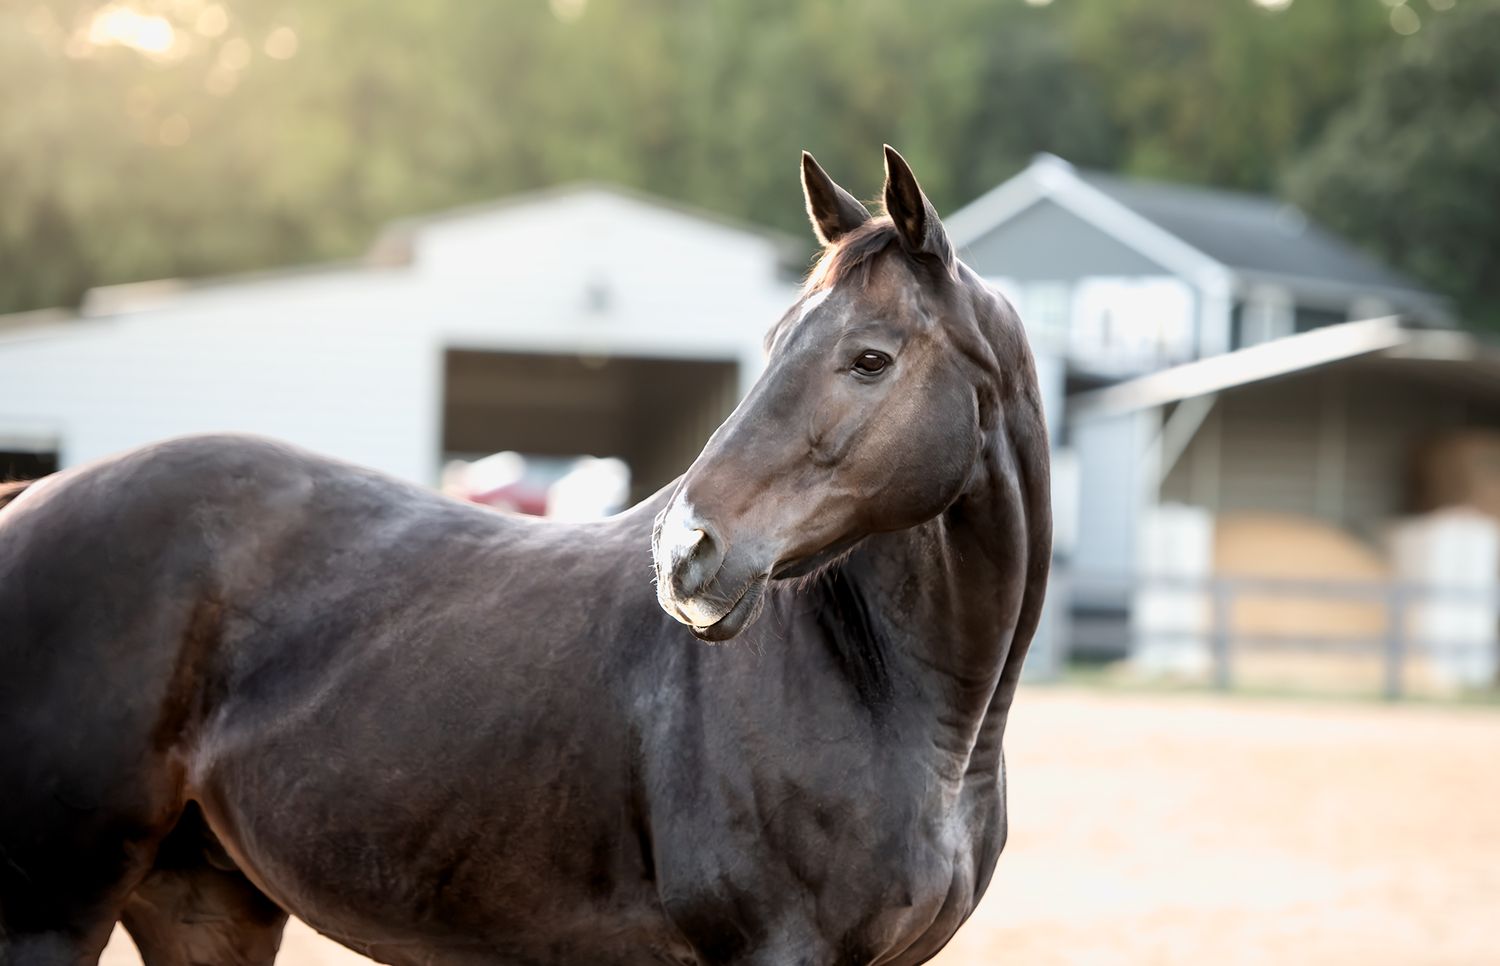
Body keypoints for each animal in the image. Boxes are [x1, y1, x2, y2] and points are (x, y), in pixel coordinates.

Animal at [0, 146, 1050, 966]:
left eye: (870, 359)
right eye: (774, 340)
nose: (687, 552)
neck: (895, 702)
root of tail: (26, 507)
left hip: (204, 904)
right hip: (51, 915)